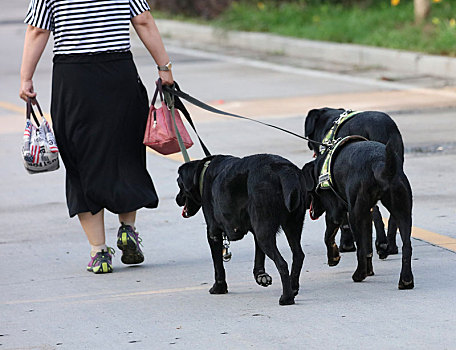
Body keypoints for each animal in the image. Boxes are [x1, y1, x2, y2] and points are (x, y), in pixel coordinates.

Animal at [175, 154, 306, 304]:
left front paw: (219, 287)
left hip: (265, 231)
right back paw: (293, 288)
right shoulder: (256, 229)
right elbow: (259, 256)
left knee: (282, 264)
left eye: (178, 183)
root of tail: (283, 169)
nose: (177, 199)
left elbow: (218, 265)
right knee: (298, 255)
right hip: (292, 225)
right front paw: (260, 276)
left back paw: (286, 297)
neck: (202, 173)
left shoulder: (213, 233)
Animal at [302, 139, 414, 290]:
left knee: (360, 248)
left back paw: (359, 274)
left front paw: (333, 258)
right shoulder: (368, 214)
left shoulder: (335, 214)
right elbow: (368, 246)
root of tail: (379, 163)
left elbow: (328, 237)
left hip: (355, 215)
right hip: (403, 212)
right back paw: (406, 280)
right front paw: (369, 270)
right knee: (406, 246)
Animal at [304, 106, 404, 258]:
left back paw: (381, 244)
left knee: (375, 211)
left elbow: (344, 221)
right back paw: (391, 246)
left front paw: (346, 244)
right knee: (394, 215)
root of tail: (378, 127)